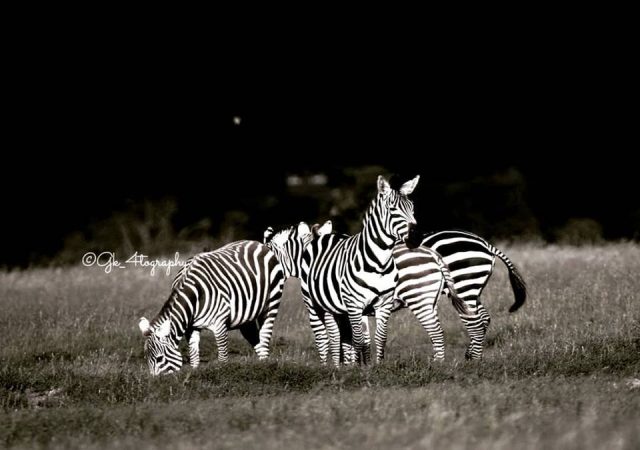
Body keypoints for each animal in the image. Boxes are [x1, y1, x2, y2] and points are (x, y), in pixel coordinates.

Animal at [139, 241, 284, 374]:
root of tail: (258, 243)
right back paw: (262, 365)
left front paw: (222, 374)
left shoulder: (219, 325)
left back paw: (266, 367)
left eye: (159, 359)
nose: (155, 381)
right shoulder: (191, 328)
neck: (195, 295)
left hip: (272, 302)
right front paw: (194, 373)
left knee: (265, 334)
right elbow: (194, 355)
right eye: (146, 359)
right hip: (246, 316)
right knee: (256, 339)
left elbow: (223, 358)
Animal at [298, 174, 420, 364]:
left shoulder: (384, 303)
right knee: (323, 338)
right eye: (392, 209)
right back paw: (327, 366)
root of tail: (324, 236)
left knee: (338, 337)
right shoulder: (354, 304)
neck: (379, 264)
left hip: (336, 308)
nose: (417, 237)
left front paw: (377, 365)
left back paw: (339, 366)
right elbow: (359, 339)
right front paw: (358, 368)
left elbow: (380, 338)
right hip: (312, 303)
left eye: (412, 208)